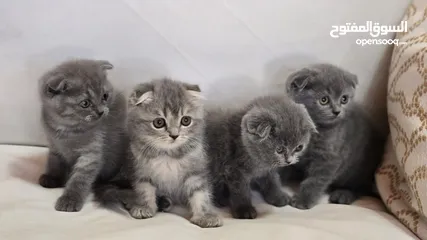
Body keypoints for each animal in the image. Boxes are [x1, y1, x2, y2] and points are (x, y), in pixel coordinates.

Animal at [38, 58, 129, 212]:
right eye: (85, 103)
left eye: (105, 96)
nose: (101, 111)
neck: (68, 130)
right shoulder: (54, 146)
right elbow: (54, 162)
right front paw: (52, 178)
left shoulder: (91, 154)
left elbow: (80, 179)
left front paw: (70, 199)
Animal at [124, 78, 222, 228]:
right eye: (159, 122)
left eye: (186, 120)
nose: (174, 135)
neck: (167, 154)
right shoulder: (141, 168)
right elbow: (144, 188)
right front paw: (144, 207)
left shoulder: (195, 168)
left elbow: (200, 192)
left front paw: (205, 216)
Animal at [282, 62, 386, 209]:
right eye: (324, 100)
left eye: (344, 99)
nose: (337, 111)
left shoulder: (330, 159)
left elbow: (315, 181)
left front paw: (303, 200)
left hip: (357, 169)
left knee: (362, 188)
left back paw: (343, 195)